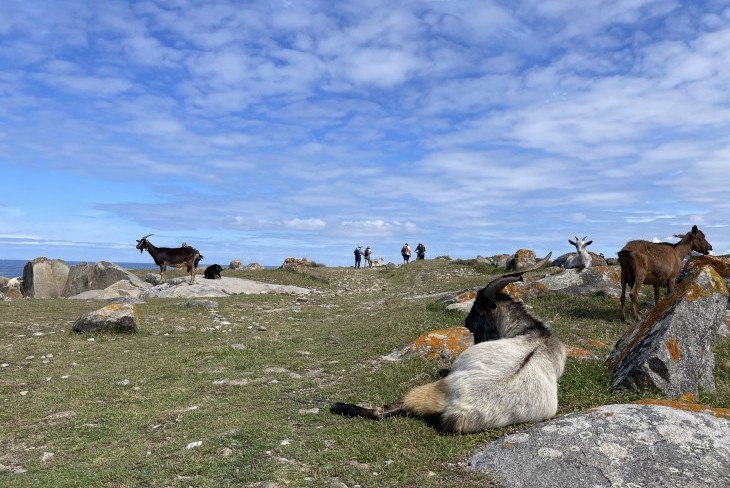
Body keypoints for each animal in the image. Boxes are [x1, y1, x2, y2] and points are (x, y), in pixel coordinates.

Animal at [328, 254, 564, 432]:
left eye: (479, 309)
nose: (466, 322)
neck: (536, 332)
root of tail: (456, 408)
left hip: (426, 389)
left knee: (383, 410)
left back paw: (337, 405)